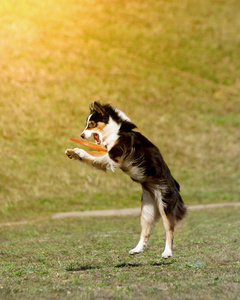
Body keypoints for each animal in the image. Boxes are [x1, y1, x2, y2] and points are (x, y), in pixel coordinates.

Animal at [66, 101, 188, 258]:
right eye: (86, 124)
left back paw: (167, 252)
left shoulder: (114, 156)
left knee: (169, 230)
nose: (81, 135)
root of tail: (176, 186)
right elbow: (92, 157)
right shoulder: (107, 158)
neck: (114, 131)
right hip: (147, 210)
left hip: (165, 205)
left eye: (91, 124)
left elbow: (91, 152)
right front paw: (72, 153)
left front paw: (78, 151)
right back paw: (137, 249)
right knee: (145, 231)